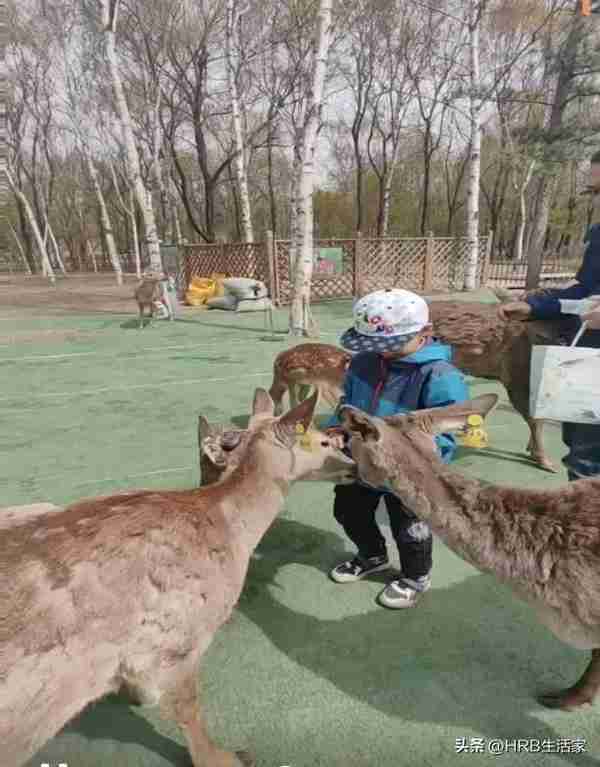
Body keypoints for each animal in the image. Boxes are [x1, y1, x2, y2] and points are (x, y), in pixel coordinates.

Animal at [0, 390, 356, 767]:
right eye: (323, 441)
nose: (354, 467)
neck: (233, 533)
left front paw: (133, 693)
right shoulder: (184, 634)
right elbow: (187, 709)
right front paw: (224, 757)